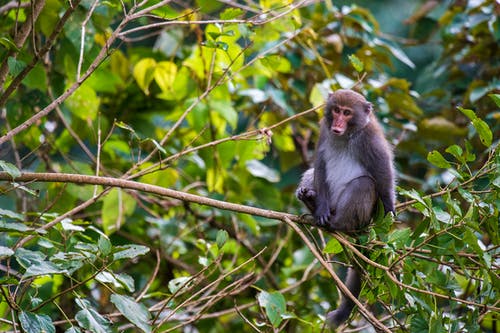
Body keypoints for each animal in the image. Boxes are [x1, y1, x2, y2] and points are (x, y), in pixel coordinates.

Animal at [294, 88, 396, 326]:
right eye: (337, 110)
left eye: (348, 113)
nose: (338, 123)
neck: (348, 134)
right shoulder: (324, 130)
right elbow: (320, 164)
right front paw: (318, 206)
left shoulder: (370, 138)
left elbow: (383, 175)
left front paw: (389, 214)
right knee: (312, 174)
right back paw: (311, 202)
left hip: (361, 215)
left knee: (364, 184)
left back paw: (338, 224)